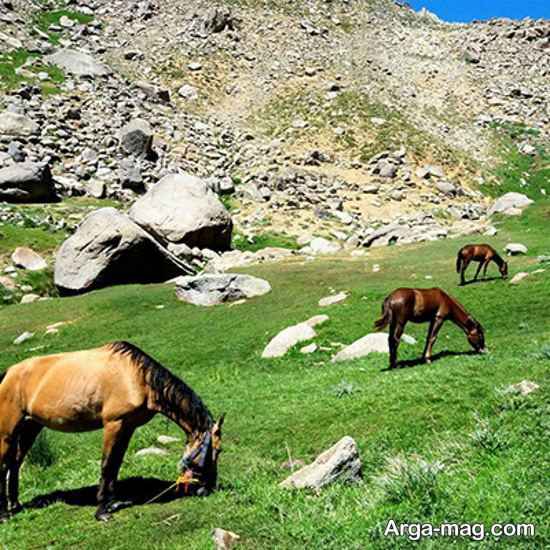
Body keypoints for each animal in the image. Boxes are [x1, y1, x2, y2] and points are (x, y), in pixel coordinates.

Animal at [0, 342, 224, 524]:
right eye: (217, 450)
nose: (208, 489)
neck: (136, 378)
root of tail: (8, 373)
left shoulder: (128, 427)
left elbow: (116, 463)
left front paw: (113, 503)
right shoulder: (113, 425)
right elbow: (107, 465)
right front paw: (102, 511)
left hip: (30, 427)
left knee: (15, 463)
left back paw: (15, 504)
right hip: (8, 431)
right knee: (4, 466)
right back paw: (4, 514)